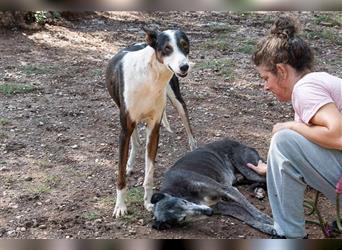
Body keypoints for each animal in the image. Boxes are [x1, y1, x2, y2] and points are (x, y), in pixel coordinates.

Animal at [105, 27, 196, 218]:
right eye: (167, 48)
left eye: (185, 45)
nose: (184, 66)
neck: (151, 77)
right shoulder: (125, 128)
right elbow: (120, 175)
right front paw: (120, 206)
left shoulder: (154, 129)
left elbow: (149, 174)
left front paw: (147, 202)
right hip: (126, 118)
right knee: (135, 141)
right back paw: (130, 164)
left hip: (177, 100)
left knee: (188, 128)